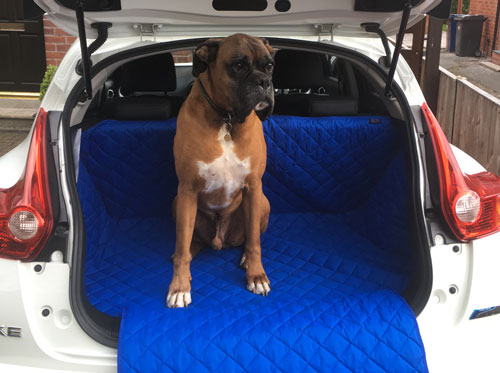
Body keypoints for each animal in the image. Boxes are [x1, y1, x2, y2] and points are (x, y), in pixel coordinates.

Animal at [169, 33, 278, 306]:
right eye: (238, 65)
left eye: (269, 66)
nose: (264, 82)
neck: (226, 120)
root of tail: (220, 241)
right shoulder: (187, 190)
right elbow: (182, 243)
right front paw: (178, 287)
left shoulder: (253, 187)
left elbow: (255, 242)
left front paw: (256, 275)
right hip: (178, 202)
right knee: (188, 242)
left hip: (263, 202)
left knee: (248, 239)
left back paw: (245, 259)